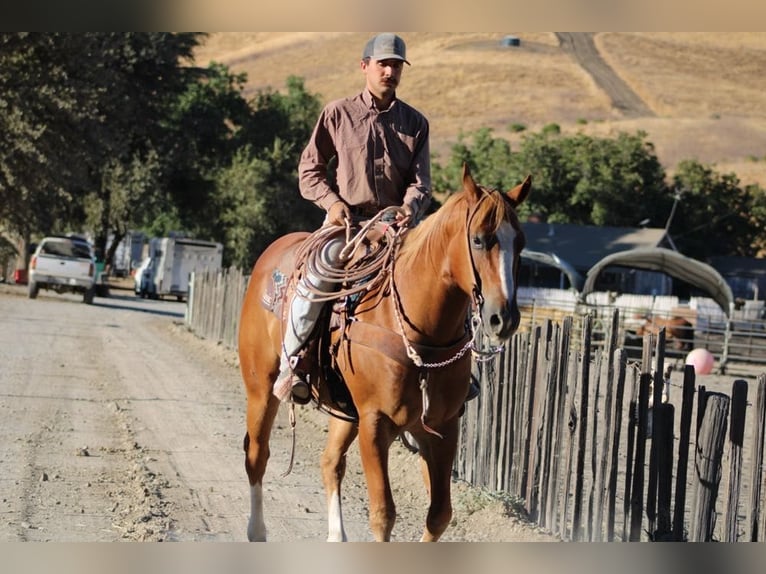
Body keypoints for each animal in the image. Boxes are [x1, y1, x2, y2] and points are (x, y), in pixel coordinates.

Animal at [237, 164, 531, 542]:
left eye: (520, 243)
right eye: (479, 239)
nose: (503, 318)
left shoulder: (442, 427)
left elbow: (439, 515)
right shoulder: (376, 422)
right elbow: (383, 514)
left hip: (345, 412)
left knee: (330, 463)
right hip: (261, 388)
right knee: (257, 455)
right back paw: (257, 530)